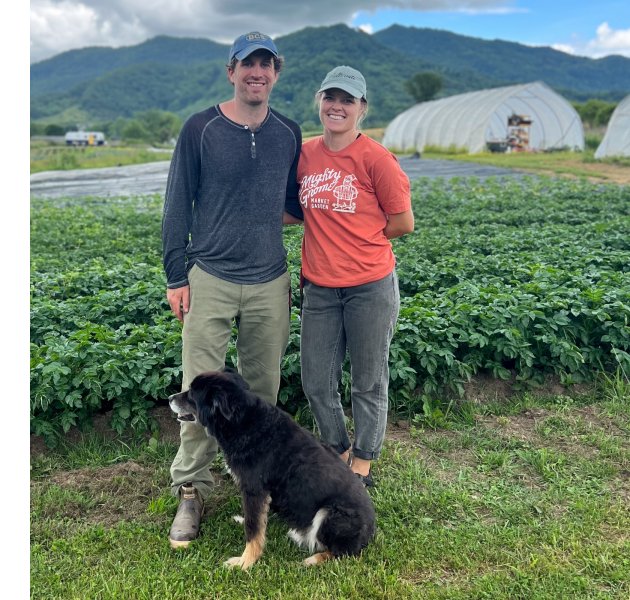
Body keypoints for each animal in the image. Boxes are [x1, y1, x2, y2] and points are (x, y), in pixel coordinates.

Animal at [169, 368, 376, 568]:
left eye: (192, 394)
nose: (169, 398)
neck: (242, 422)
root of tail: (371, 533)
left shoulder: (254, 490)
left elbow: (253, 529)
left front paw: (245, 562)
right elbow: (255, 521)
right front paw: (245, 525)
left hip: (329, 514)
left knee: (343, 552)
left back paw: (313, 559)